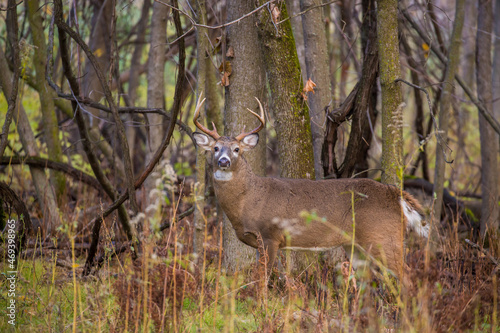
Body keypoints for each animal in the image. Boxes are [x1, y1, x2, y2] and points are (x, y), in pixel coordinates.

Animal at [193, 92, 428, 282]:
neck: (249, 200)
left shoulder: (271, 235)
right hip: (355, 244)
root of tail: (395, 194)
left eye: (236, 149)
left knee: (407, 276)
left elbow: (263, 279)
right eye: (215, 148)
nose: (224, 161)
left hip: (383, 237)